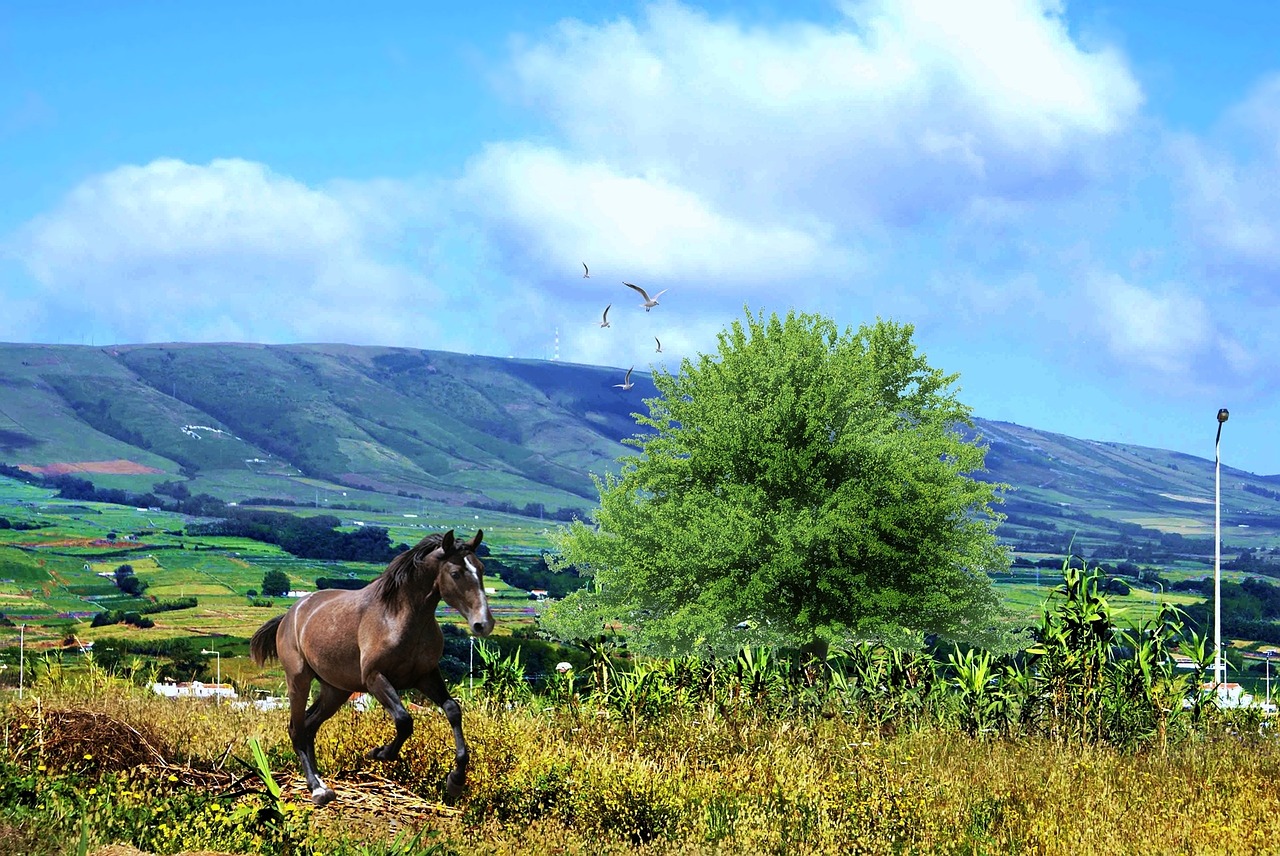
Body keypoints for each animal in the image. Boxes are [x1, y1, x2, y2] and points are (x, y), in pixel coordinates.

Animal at [249, 527, 494, 803]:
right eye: (455, 573)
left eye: (481, 568)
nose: (483, 624)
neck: (399, 617)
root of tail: (290, 614)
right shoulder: (375, 678)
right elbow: (404, 720)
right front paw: (379, 752)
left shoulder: (426, 676)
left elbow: (452, 709)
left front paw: (456, 781)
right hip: (298, 679)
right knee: (297, 729)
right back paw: (317, 789)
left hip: (336, 690)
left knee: (310, 726)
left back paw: (322, 781)